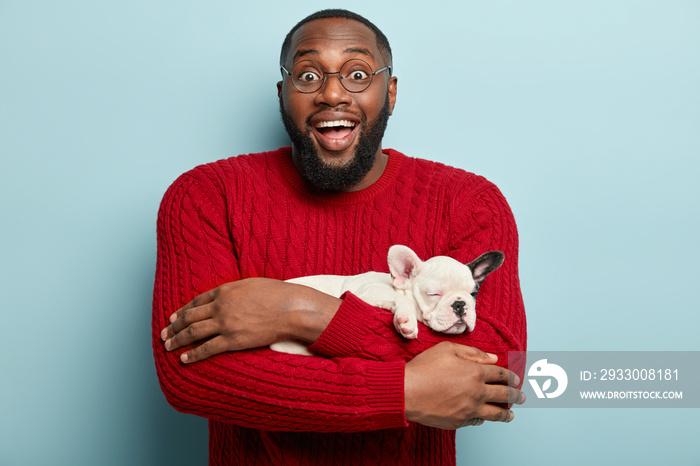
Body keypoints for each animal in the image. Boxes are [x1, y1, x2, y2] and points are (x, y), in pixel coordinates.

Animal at [268, 244, 504, 356]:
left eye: (473, 294)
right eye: (433, 294)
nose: (460, 304)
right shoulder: (367, 291)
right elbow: (401, 301)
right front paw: (406, 322)